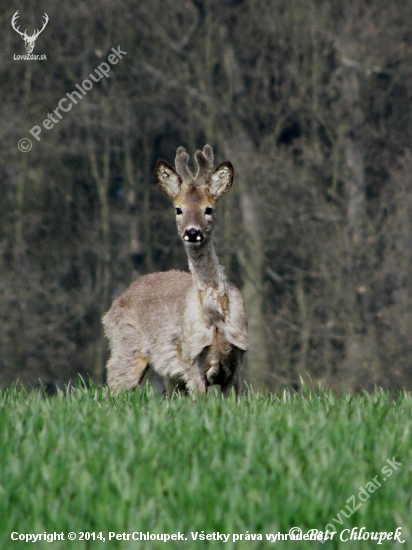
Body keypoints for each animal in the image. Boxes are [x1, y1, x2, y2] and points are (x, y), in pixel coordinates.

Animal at [104, 144, 249, 398]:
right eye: (178, 209)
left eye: (209, 209)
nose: (192, 232)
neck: (215, 319)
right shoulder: (191, 360)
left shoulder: (236, 362)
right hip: (126, 348)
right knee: (112, 387)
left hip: (171, 377)